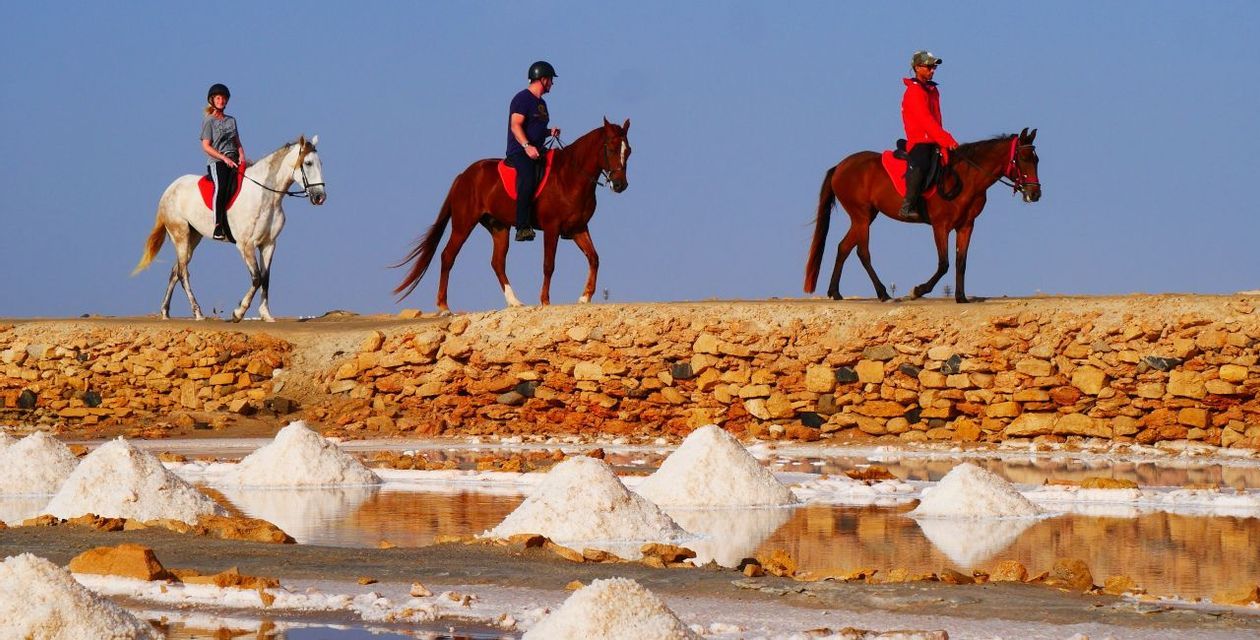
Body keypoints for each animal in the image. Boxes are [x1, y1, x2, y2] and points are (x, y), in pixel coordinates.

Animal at [132, 135, 327, 322]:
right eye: (308, 163)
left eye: (320, 163)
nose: (320, 197)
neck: (265, 196)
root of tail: (170, 189)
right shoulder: (246, 245)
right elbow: (257, 278)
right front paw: (238, 313)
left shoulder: (269, 244)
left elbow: (265, 278)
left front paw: (266, 314)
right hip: (180, 234)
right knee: (183, 273)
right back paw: (197, 313)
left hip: (193, 238)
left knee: (176, 270)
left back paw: (165, 312)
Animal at [393, 118, 631, 314]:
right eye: (611, 149)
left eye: (628, 151)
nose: (620, 185)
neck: (571, 176)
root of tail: (464, 176)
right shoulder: (552, 228)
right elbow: (549, 264)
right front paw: (545, 301)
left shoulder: (578, 228)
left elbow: (594, 258)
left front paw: (585, 297)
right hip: (463, 225)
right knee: (448, 256)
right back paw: (443, 306)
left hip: (499, 228)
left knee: (497, 262)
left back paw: (514, 302)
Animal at [804, 128, 1041, 303]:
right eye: (1022, 158)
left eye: (1036, 159)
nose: (1035, 193)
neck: (967, 177)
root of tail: (840, 166)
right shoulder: (940, 226)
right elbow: (944, 263)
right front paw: (918, 290)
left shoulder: (966, 225)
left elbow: (961, 262)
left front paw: (961, 297)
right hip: (861, 216)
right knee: (862, 252)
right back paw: (882, 293)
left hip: (866, 216)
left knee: (843, 247)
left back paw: (835, 292)